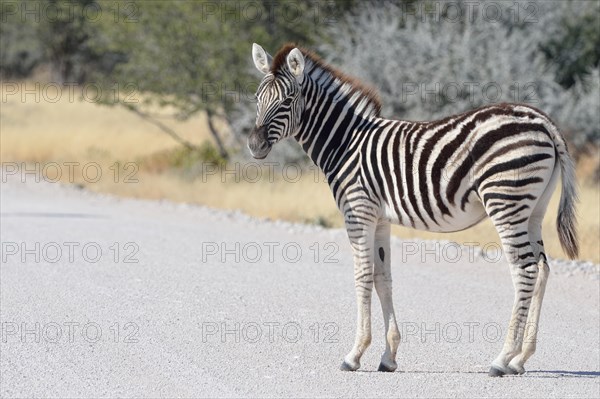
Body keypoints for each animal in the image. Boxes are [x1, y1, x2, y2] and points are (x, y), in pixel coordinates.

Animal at [247, 43, 576, 378]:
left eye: (288, 100)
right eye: (258, 98)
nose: (255, 145)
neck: (347, 143)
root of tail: (543, 121)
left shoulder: (358, 212)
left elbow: (362, 276)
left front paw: (354, 354)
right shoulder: (380, 218)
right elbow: (382, 278)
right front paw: (388, 355)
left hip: (505, 200)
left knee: (525, 270)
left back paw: (502, 358)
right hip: (533, 209)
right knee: (542, 269)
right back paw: (521, 359)